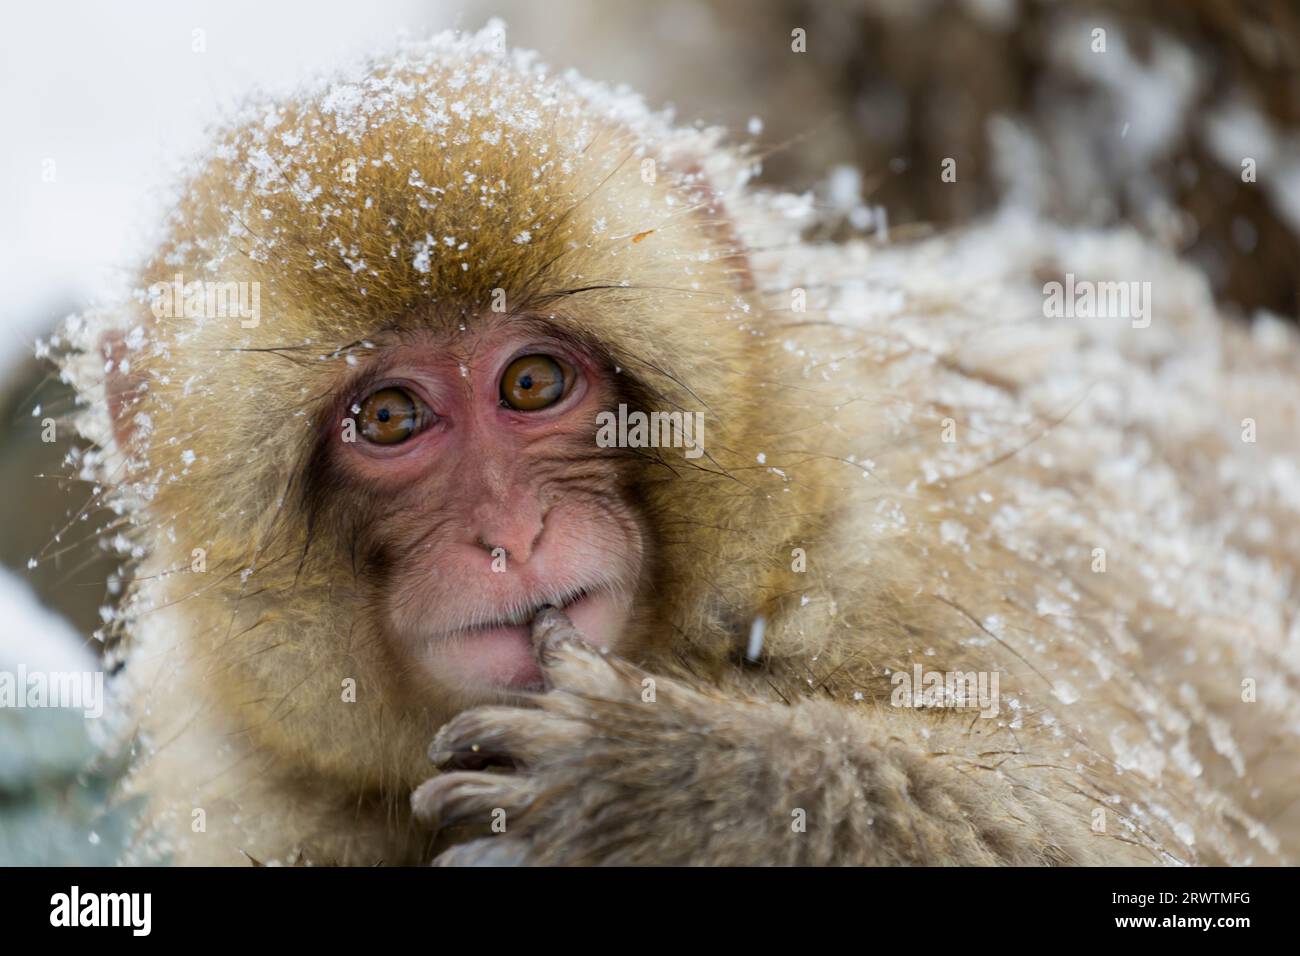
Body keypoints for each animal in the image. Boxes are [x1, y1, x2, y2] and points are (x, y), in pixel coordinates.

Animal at [55, 26, 1300, 868]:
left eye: (533, 381)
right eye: (391, 417)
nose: (511, 532)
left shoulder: (893, 537)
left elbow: (1131, 833)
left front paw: (672, 787)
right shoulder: (264, 788)